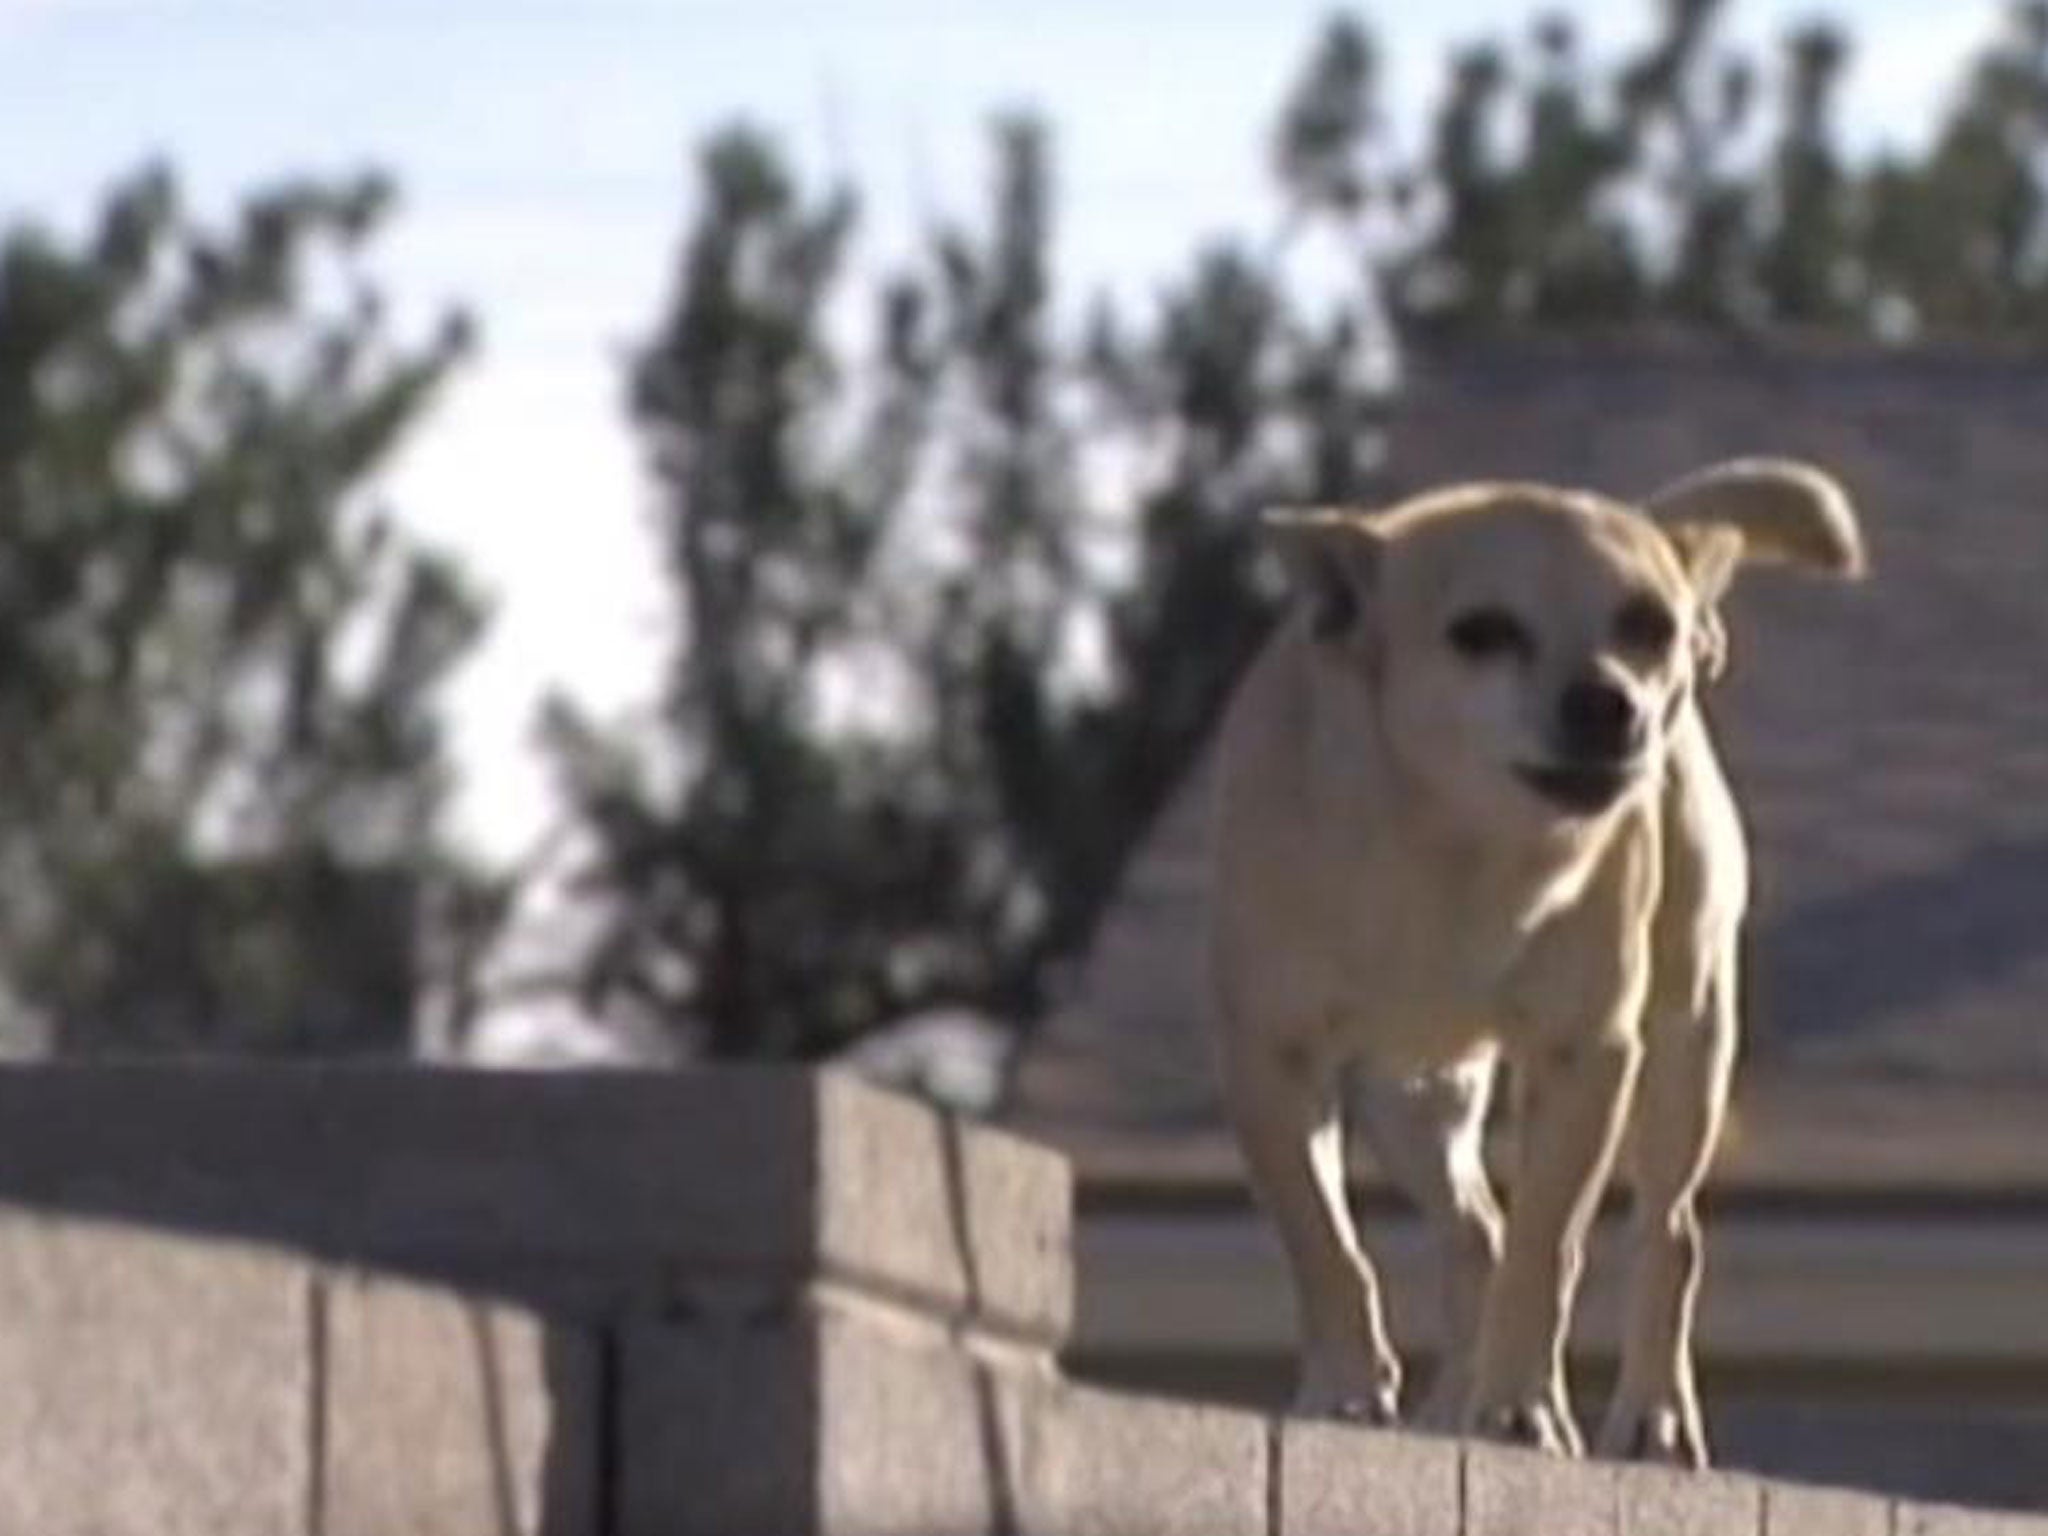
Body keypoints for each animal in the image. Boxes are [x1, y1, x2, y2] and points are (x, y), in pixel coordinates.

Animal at [1204, 460, 1867, 1466]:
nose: (1607, 702)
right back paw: (1448, 1407)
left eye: (1649, 627)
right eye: (1481, 633)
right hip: (1413, 1098)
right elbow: (1324, 1242)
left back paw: (1650, 1417)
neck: (1456, 849)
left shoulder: (1584, 1056)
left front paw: (1520, 1411)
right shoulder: (1273, 1059)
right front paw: (1348, 1390)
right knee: (1474, 1231)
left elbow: (1546, 1247)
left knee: (1663, 1233)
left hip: (1687, 1039)